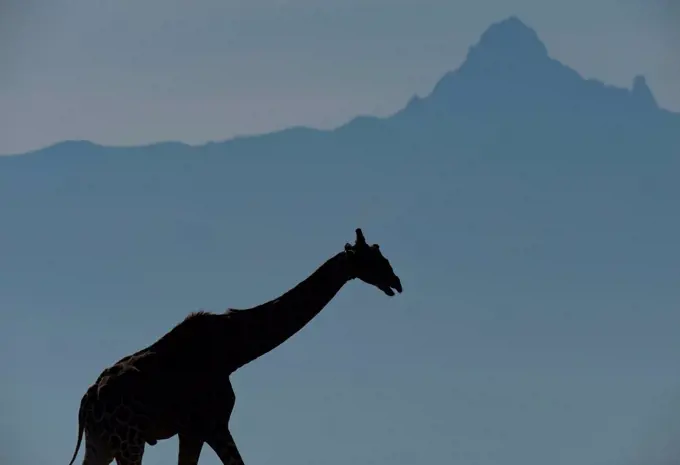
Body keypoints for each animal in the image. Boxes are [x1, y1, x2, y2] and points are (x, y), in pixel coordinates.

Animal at [66, 228, 402, 464]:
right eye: (373, 259)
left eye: (382, 255)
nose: (396, 282)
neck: (233, 352)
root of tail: (87, 401)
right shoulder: (209, 424)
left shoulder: (194, 430)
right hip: (128, 440)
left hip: (102, 442)